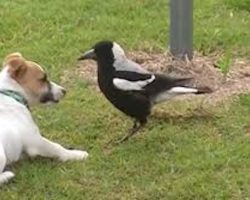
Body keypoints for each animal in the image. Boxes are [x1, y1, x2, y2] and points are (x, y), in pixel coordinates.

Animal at [0, 52, 89, 186]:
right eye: (43, 79)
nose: (64, 91)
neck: (12, 94)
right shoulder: (36, 141)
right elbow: (57, 147)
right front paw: (76, 154)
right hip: (1, 154)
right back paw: (7, 176)